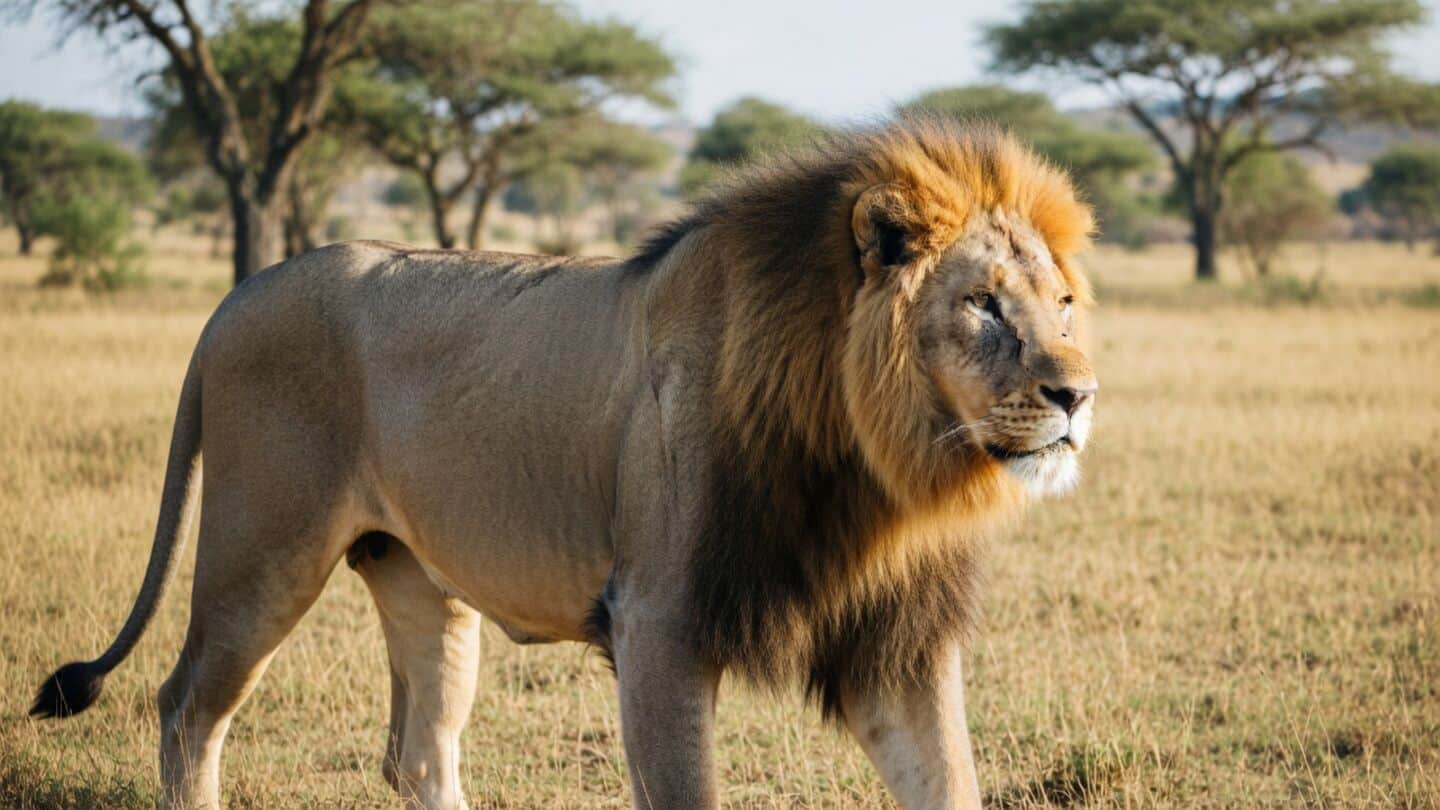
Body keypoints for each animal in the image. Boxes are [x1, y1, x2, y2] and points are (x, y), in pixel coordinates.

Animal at [32, 117, 1098, 810]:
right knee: (185, 711)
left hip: (417, 581)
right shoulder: (659, 625)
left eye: (1063, 304)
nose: (1078, 395)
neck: (875, 471)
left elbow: (950, 783)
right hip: (262, 552)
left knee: (418, 756)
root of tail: (236, 296)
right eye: (984, 304)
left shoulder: (896, 642)